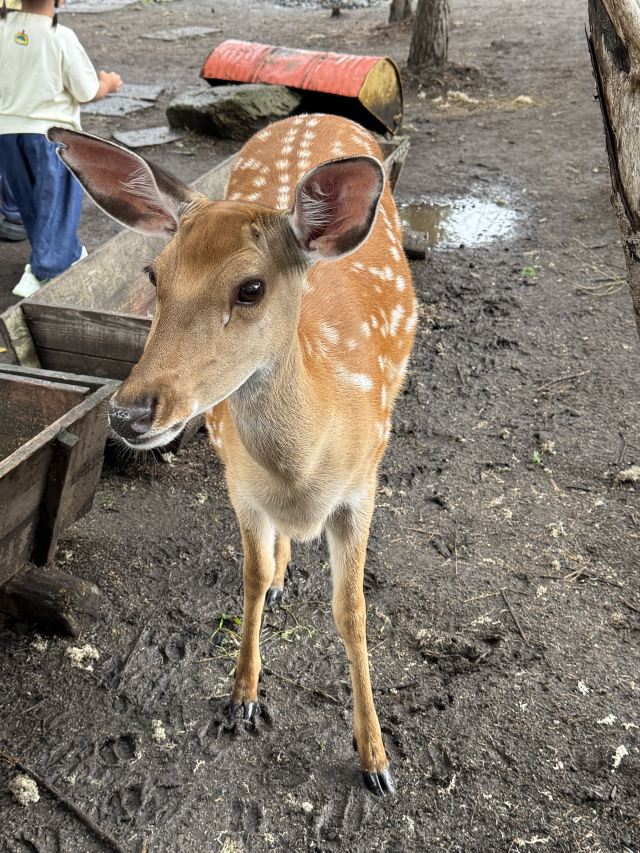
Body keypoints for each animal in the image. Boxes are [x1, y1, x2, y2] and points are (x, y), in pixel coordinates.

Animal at [48, 113, 417, 796]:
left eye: (251, 287)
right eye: (154, 275)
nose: (130, 413)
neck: (304, 468)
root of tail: (314, 114)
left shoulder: (361, 488)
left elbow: (351, 613)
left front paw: (376, 759)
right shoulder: (239, 484)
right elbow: (252, 577)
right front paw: (241, 695)